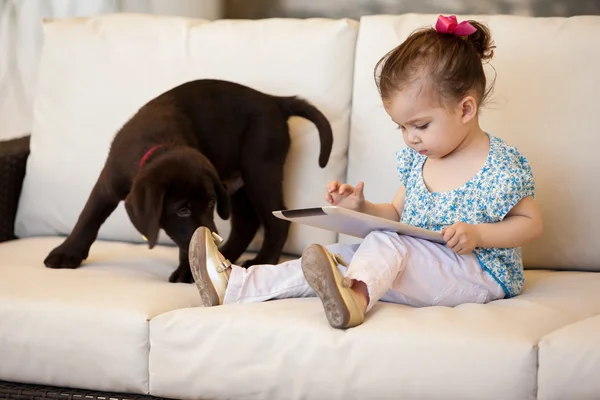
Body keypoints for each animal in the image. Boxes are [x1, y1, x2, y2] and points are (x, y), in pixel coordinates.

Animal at [43, 79, 332, 282]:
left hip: (260, 169)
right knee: (247, 223)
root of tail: (274, 100)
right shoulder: (107, 184)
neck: (157, 145)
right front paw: (66, 253)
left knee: (276, 222)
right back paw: (228, 254)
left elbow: (191, 241)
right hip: (241, 185)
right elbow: (88, 217)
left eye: (211, 203)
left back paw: (262, 260)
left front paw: (188, 269)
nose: (213, 240)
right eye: (182, 209)